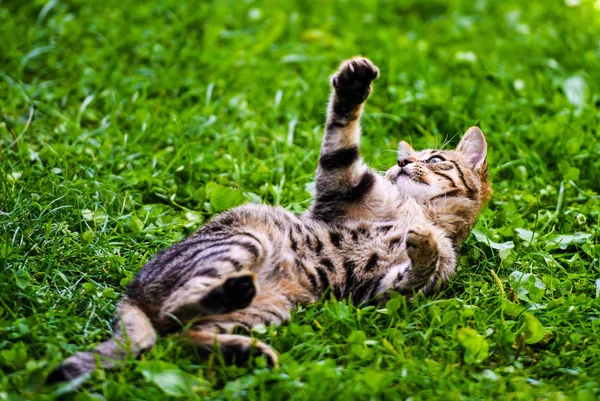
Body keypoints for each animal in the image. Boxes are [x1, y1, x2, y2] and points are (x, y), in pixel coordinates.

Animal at [49, 56, 492, 382]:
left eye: (434, 159)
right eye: (404, 158)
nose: (400, 163)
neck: (416, 210)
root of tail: (131, 291)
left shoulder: (386, 292)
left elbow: (417, 270)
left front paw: (426, 243)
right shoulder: (343, 182)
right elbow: (342, 133)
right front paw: (352, 86)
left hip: (270, 309)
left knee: (182, 333)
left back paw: (247, 352)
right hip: (246, 243)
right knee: (175, 315)